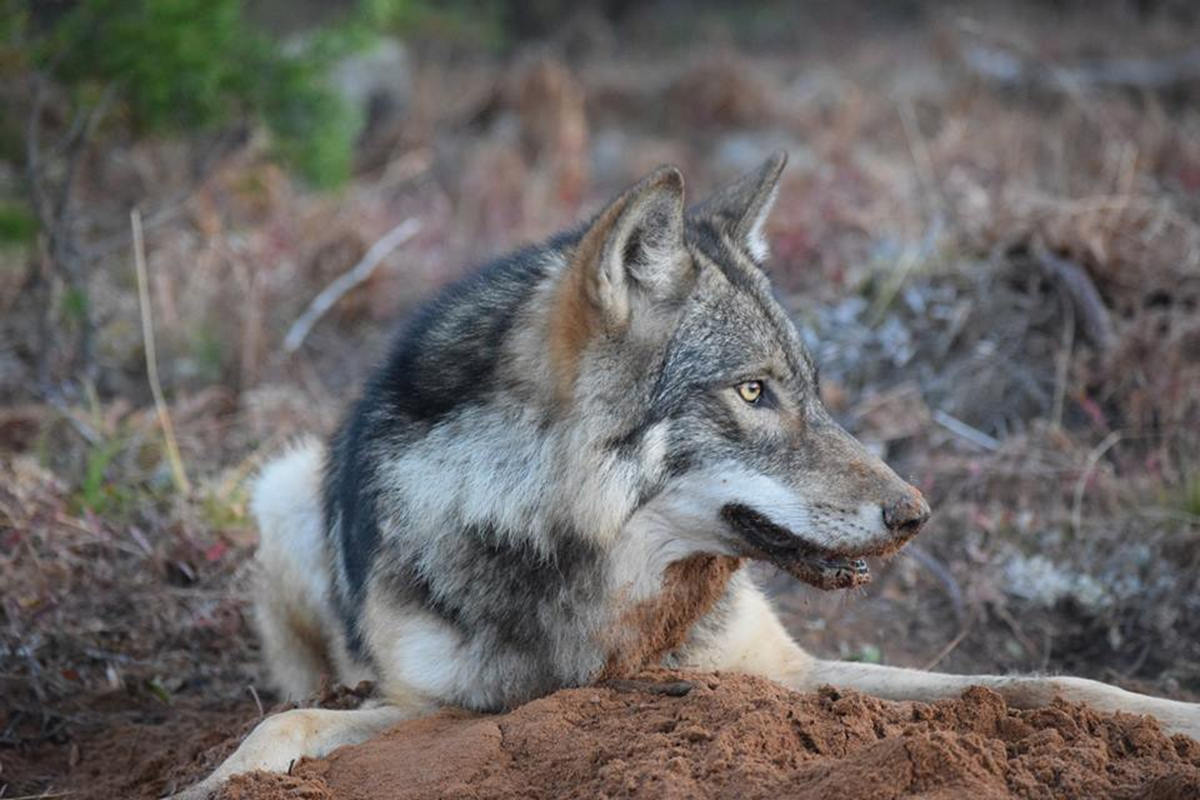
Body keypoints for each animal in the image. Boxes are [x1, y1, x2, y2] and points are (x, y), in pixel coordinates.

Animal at [171, 153, 1200, 796]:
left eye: (811, 388)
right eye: (752, 391)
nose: (915, 514)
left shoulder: (778, 673)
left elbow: (1056, 686)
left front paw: (1171, 717)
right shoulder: (432, 707)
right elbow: (283, 729)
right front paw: (210, 784)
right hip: (280, 492)